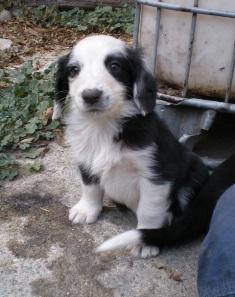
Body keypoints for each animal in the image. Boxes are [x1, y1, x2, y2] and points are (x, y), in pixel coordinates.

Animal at [53, 34, 207, 256]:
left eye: (115, 66)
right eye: (74, 70)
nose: (91, 95)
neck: (103, 126)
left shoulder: (156, 174)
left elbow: (149, 210)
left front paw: (145, 240)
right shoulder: (86, 159)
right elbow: (90, 187)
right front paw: (87, 209)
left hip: (196, 171)